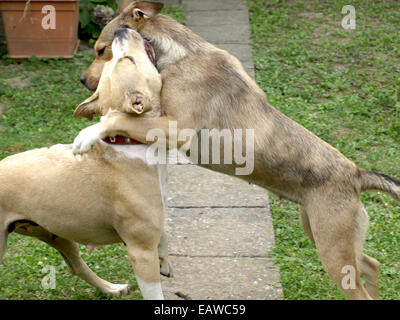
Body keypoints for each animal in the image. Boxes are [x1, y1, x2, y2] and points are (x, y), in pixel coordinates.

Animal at [0, 28, 168, 300]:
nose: (120, 30)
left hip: (55, 233)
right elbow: (154, 291)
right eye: (129, 60)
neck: (126, 142)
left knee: (75, 266)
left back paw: (110, 288)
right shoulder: (141, 252)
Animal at [77, 1, 400, 300]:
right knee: (371, 264)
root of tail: (357, 175)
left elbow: (120, 119)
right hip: (322, 234)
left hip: (332, 251)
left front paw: (86, 134)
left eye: (102, 50)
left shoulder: (174, 128)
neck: (180, 54)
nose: (82, 80)